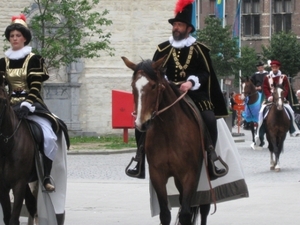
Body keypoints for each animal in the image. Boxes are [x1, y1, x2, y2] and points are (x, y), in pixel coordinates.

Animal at [122, 56, 211, 225]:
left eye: (153, 86)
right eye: (133, 86)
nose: (141, 123)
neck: (168, 132)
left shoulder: (190, 174)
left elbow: (185, 214)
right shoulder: (157, 174)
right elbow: (165, 214)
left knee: (204, 209)